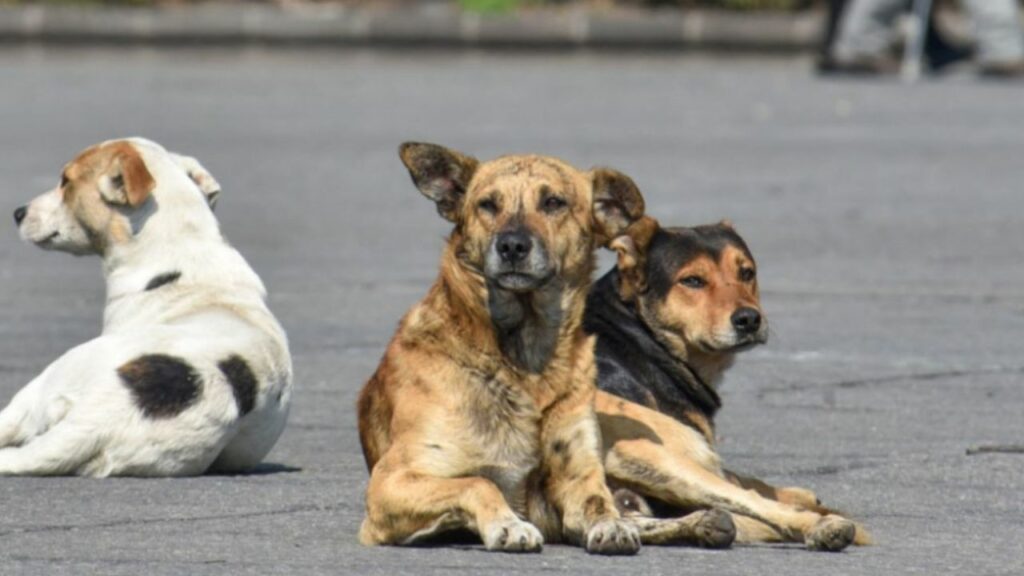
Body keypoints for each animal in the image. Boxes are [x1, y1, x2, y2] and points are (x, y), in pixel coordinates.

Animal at [360, 141, 659, 553]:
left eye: (553, 202)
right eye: (487, 204)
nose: (512, 246)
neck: (524, 358)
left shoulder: (576, 473)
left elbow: (598, 501)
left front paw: (612, 524)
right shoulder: (392, 481)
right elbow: (477, 481)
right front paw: (508, 524)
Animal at [589, 217, 868, 549]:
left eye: (746, 273)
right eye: (692, 281)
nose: (749, 319)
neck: (636, 331)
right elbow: (747, 485)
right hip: (651, 456)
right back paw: (825, 527)